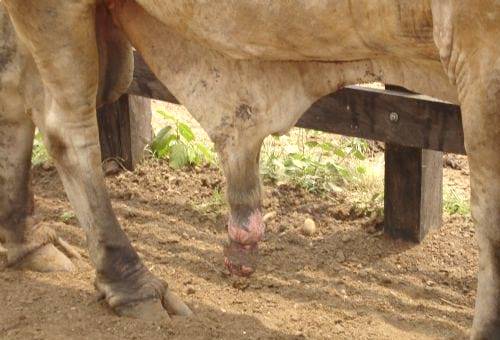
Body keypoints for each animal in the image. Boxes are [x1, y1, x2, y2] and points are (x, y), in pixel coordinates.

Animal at [0, 1, 498, 338]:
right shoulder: (479, 46)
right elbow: (491, 222)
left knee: (14, 95)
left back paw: (29, 241)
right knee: (66, 130)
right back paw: (131, 282)